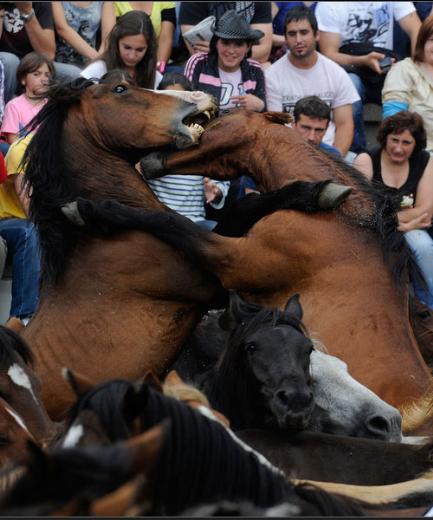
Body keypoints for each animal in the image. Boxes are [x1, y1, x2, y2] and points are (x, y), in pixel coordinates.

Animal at [73, 109, 428, 430]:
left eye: (215, 122)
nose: (148, 159)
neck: (345, 219)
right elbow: (241, 206)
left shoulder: (235, 262)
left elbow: (173, 223)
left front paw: (94, 209)